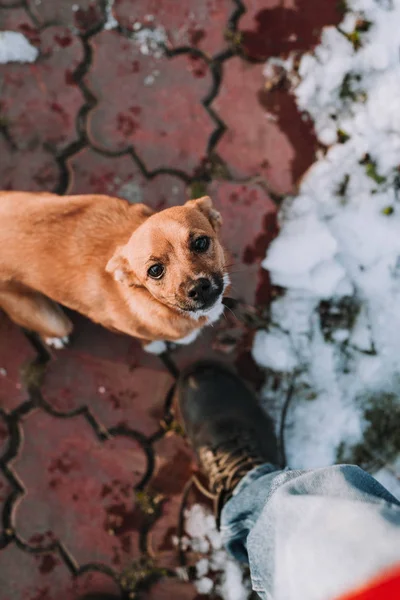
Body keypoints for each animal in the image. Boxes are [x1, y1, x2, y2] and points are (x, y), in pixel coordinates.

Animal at [0, 191, 228, 352]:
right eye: (155, 270)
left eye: (200, 243)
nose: (198, 288)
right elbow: (146, 337)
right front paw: (155, 345)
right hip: (53, 321)